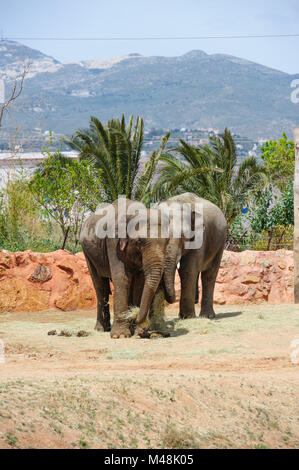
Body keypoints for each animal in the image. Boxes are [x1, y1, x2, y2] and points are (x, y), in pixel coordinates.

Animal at [79, 197, 178, 338]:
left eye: (167, 242)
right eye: (139, 242)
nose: (136, 317)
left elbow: (139, 283)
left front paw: (137, 333)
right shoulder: (113, 243)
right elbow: (122, 279)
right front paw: (120, 336)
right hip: (87, 253)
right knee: (100, 286)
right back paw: (101, 329)